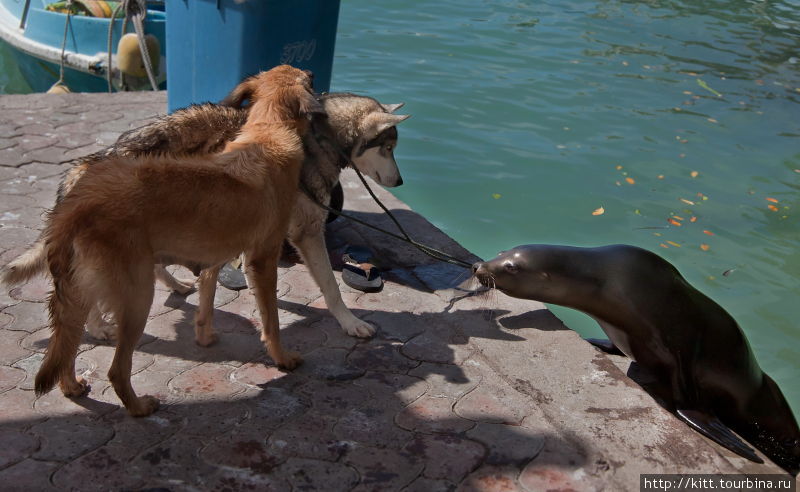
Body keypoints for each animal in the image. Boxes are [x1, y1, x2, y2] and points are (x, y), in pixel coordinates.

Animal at [3, 92, 410, 344]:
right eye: (389, 147)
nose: (401, 182)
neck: (319, 137)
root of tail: (95, 158)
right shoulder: (306, 233)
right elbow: (331, 287)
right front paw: (350, 322)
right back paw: (100, 326)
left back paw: (175, 285)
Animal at [35, 65, 318, 418]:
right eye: (309, 79)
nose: (313, 73)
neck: (268, 130)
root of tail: (77, 204)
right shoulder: (262, 260)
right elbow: (272, 322)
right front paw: (283, 358)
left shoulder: (214, 255)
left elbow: (207, 299)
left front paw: (205, 335)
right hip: (137, 297)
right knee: (116, 369)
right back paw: (139, 407)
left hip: (81, 289)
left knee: (69, 342)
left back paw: (71, 386)